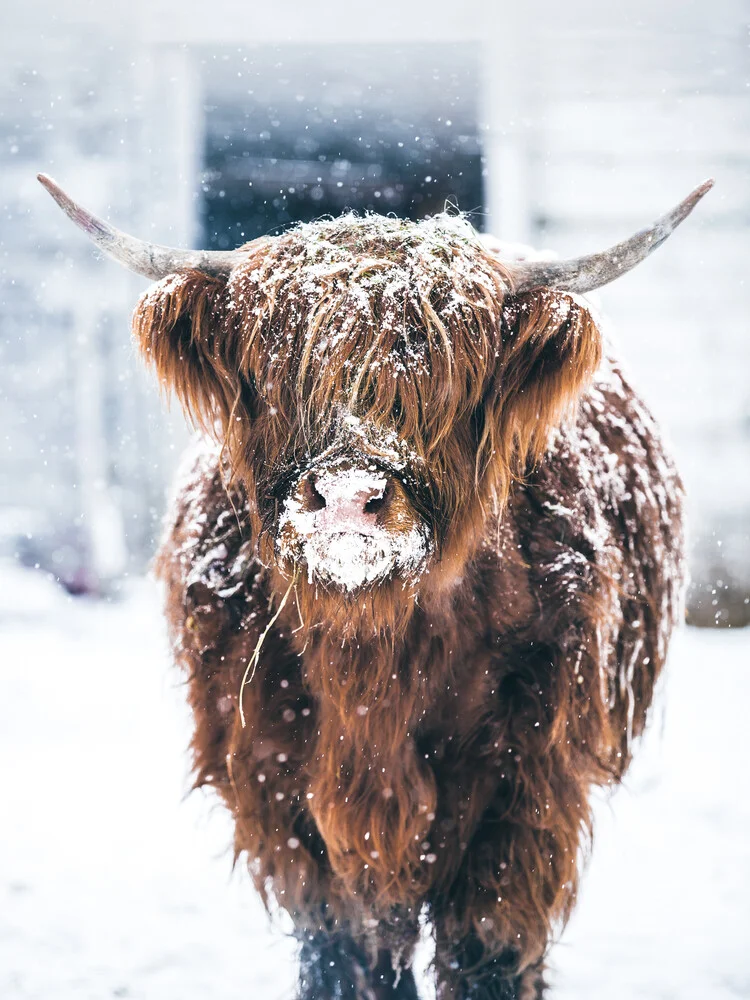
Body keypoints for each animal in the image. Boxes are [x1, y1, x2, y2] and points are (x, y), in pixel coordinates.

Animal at [38, 174, 712, 1000]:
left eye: (443, 380)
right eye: (278, 372)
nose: (349, 494)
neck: (371, 646)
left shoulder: (527, 792)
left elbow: (490, 949)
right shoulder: (282, 794)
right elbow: (341, 949)